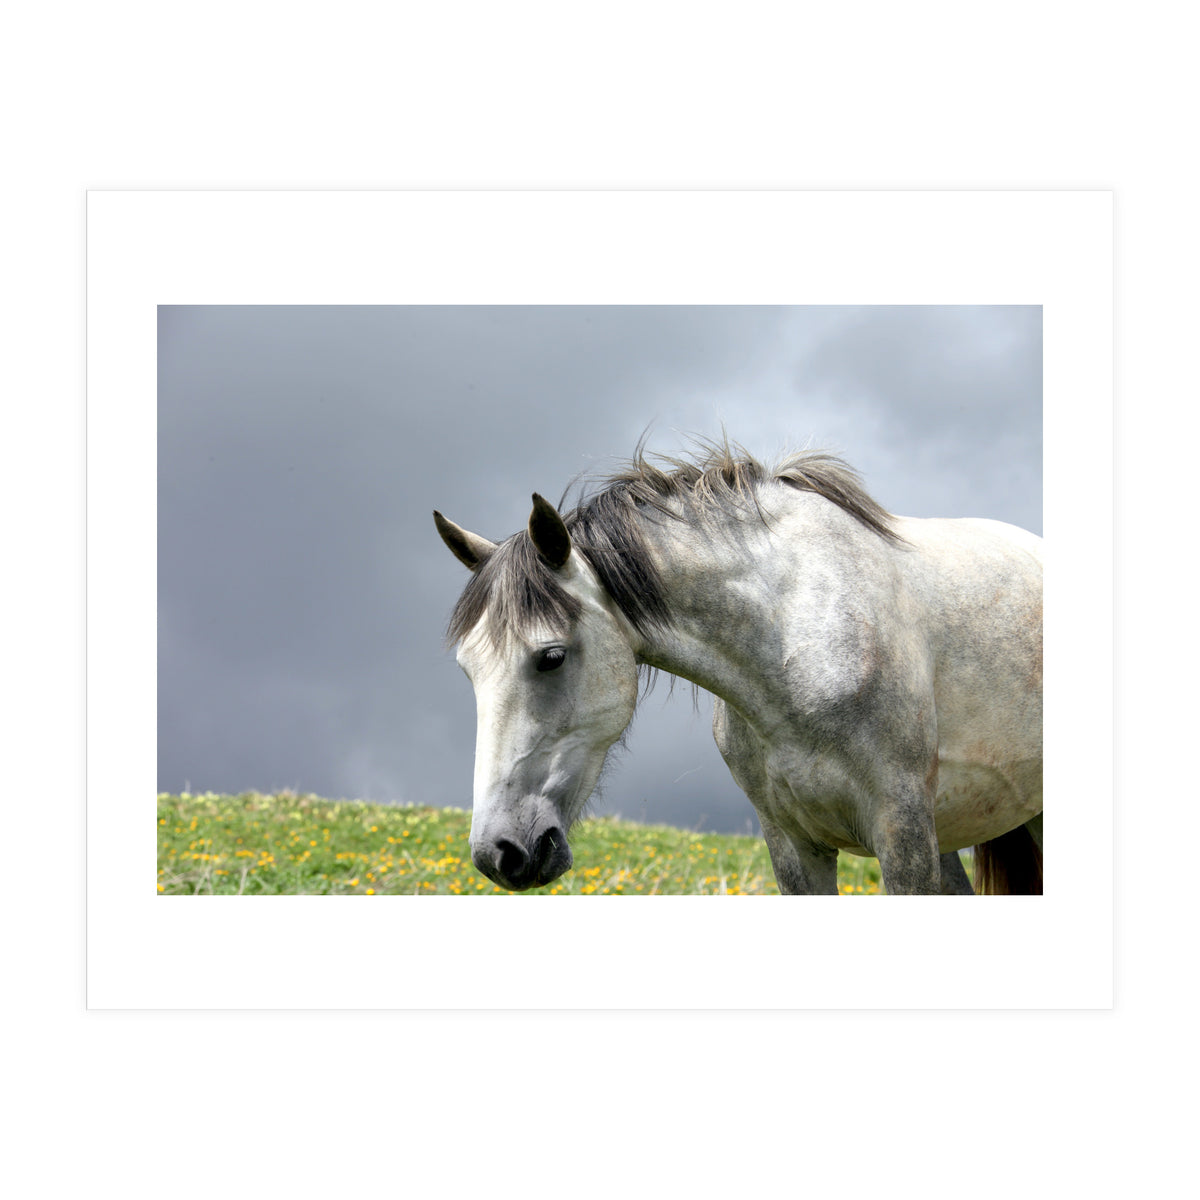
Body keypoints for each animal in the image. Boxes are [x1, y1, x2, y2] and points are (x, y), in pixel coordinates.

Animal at [434, 439, 1043, 895]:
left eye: (551, 657)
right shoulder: (793, 847)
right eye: (467, 671)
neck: (796, 644)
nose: (499, 853)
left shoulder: (903, 833)